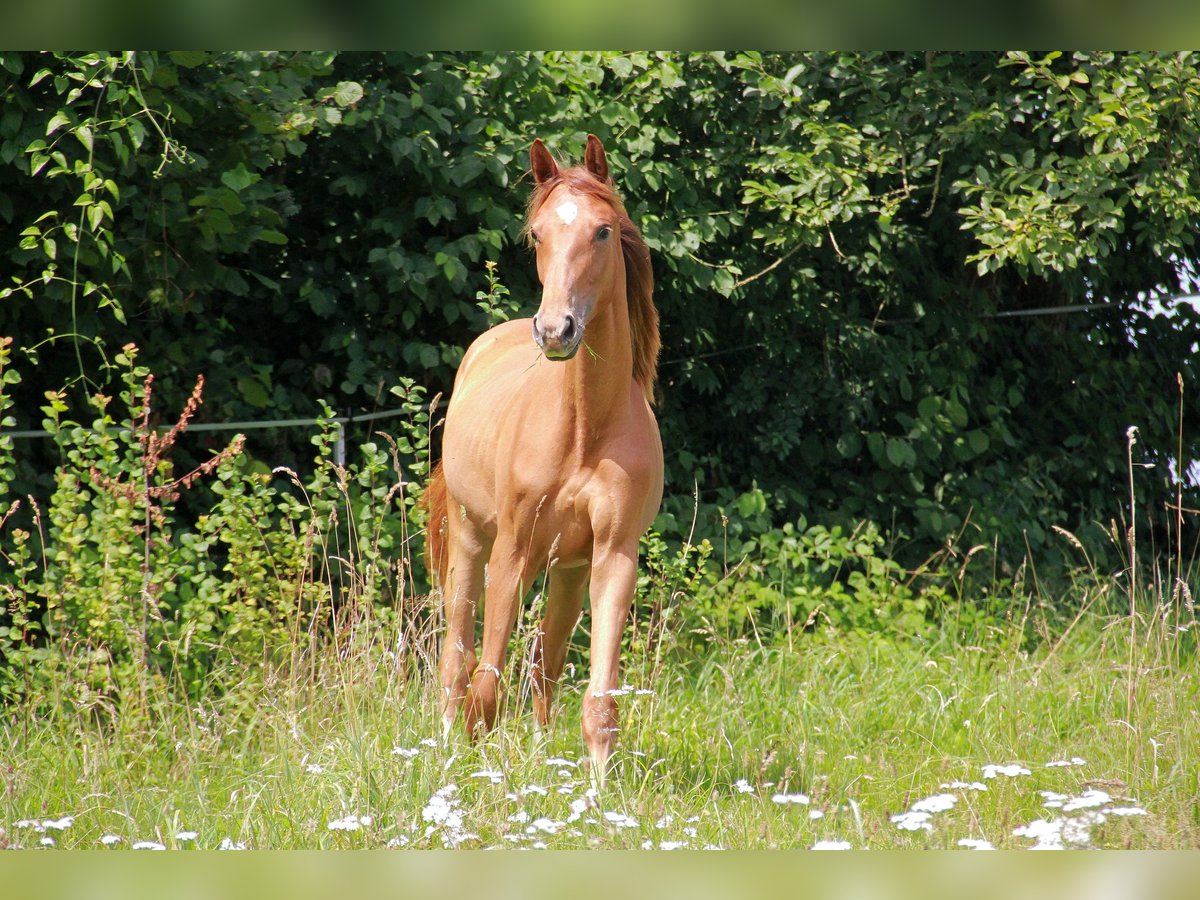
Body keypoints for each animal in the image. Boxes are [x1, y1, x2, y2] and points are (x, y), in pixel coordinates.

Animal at [424, 133, 667, 782]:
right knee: (457, 661)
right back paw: (443, 746)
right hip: (471, 542)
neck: (583, 429)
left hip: (567, 569)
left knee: (546, 663)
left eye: (603, 231)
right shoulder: (511, 551)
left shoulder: (611, 559)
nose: (556, 330)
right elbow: (485, 686)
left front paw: (599, 794)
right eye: (537, 234)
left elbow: (599, 701)